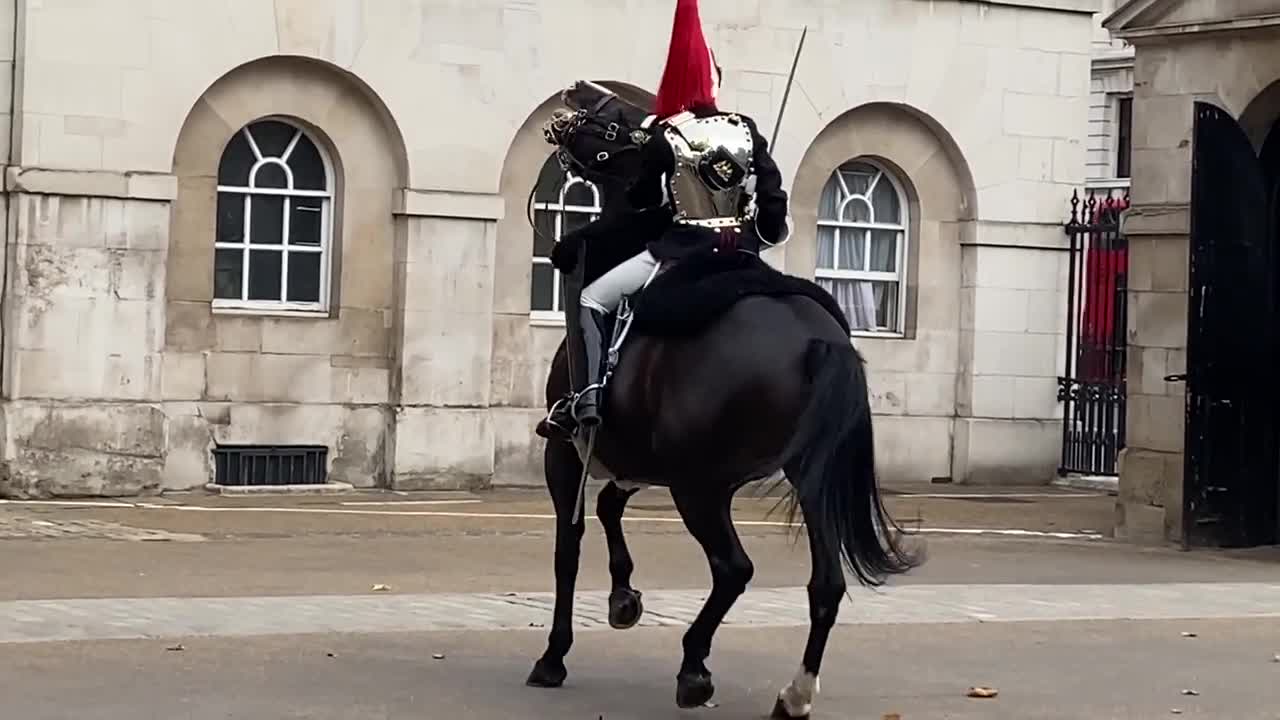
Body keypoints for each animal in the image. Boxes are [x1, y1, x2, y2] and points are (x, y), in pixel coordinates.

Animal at [527, 81, 921, 712]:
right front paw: (623, 599)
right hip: (802, 477)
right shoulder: (637, 460)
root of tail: (816, 336)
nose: (575, 94)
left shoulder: (567, 452)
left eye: (625, 122)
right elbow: (610, 508)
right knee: (826, 583)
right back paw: (794, 692)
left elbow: (570, 545)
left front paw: (554, 655)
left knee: (733, 568)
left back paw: (694, 669)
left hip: (699, 488)